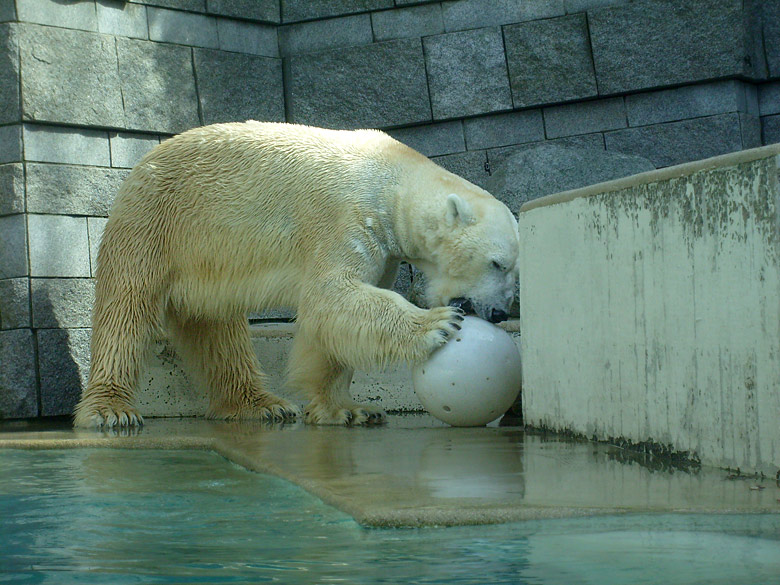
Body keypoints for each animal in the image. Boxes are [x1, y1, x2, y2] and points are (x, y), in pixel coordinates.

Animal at [73, 121, 520, 426]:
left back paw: (262, 404)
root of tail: (139, 165)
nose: (500, 313)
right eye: (498, 263)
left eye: (512, 270)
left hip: (205, 261)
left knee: (217, 328)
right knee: (127, 311)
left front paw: (348, 409)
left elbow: (331, 327)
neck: (389, 181)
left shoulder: (382, 249)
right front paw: (437, 324)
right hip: (156, 224)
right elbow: (331, 297)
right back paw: (111, 410)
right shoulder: (345, 218)